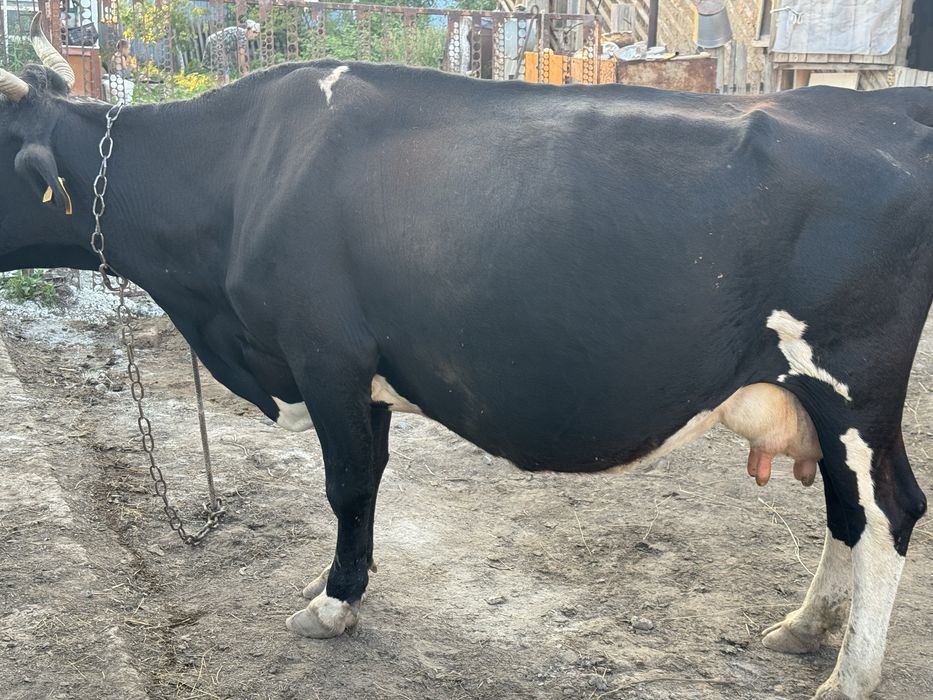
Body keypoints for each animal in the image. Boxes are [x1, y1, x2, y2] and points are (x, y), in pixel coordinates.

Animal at [2, 19, 932, 700]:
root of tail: (880, 109)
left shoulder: (325, 354)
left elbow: (345, 484)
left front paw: (331, 604)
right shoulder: (362, 374)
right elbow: (370, 479)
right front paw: (353, 584)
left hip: (851, 381)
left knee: (890, 510)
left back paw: (847, 679)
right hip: (816, 396)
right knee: (847, 514)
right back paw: (805, 628)